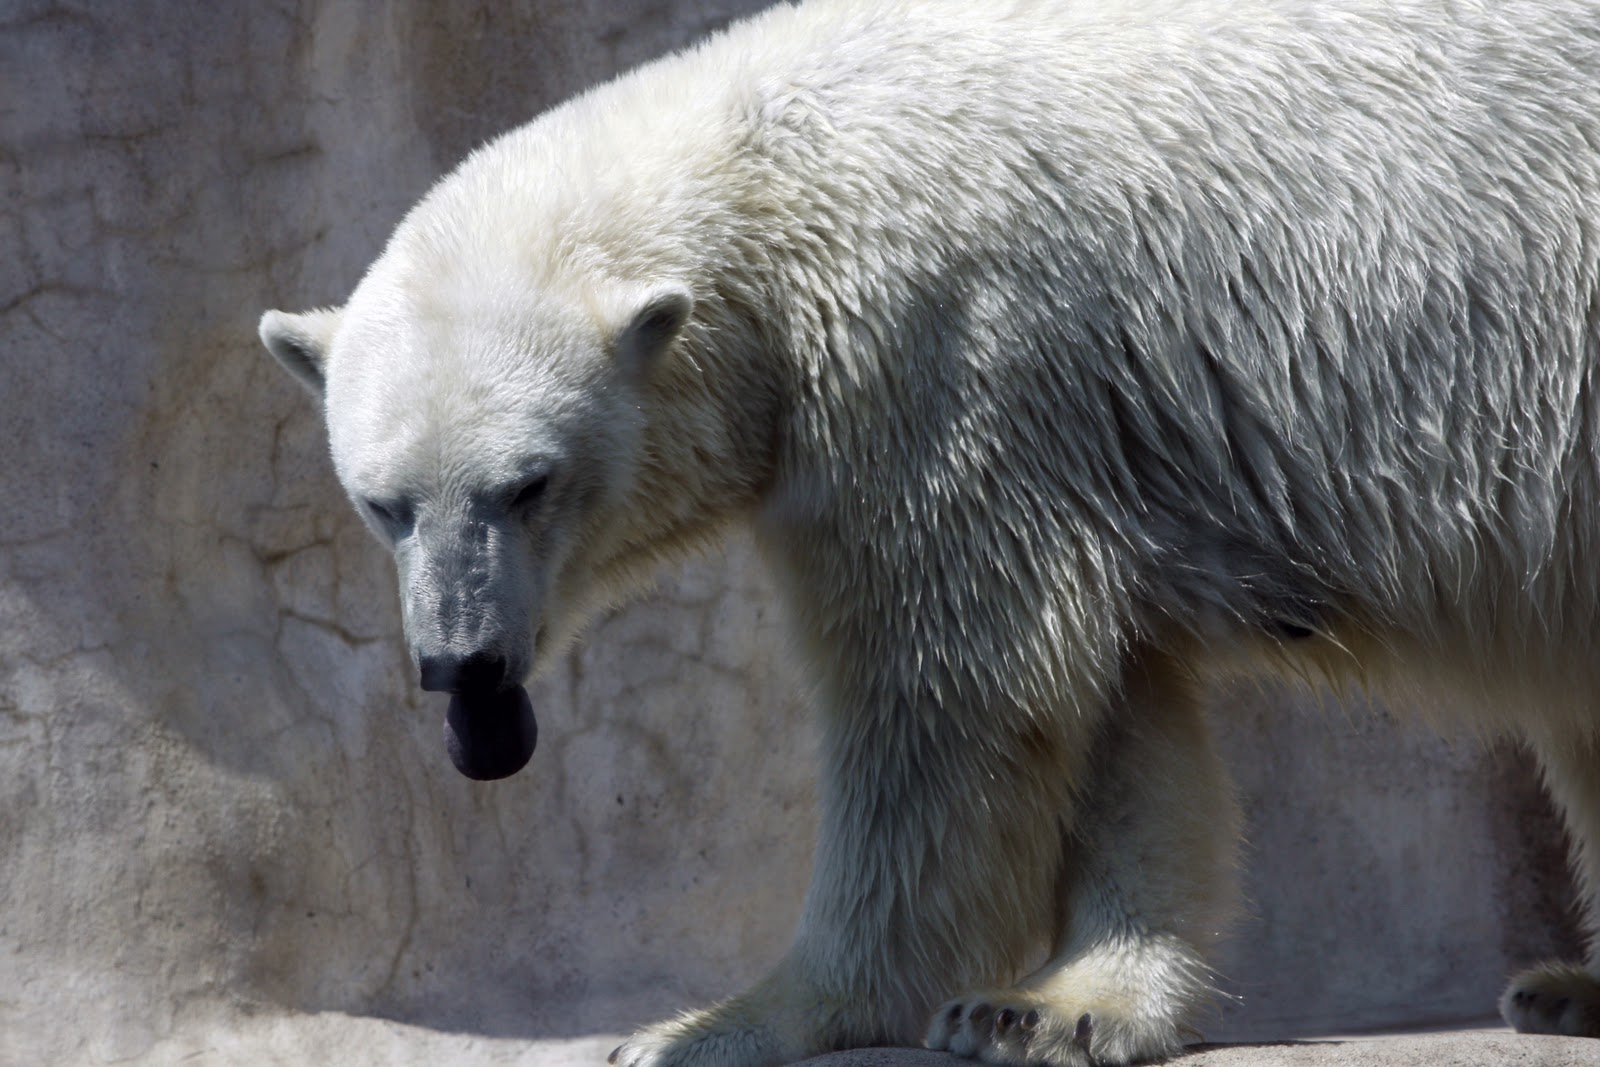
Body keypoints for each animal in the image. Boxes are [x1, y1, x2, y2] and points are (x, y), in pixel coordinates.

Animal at [258, 0, 1600, 1063]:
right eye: (383, 501)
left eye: (529, 484)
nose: (462, 665)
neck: (765, 168)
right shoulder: (1074, 427)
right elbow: (1117, 705)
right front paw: (1054, 1005)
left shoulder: (938, 345)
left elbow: (949, 689)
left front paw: (719, 1022)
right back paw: (1567, 982)